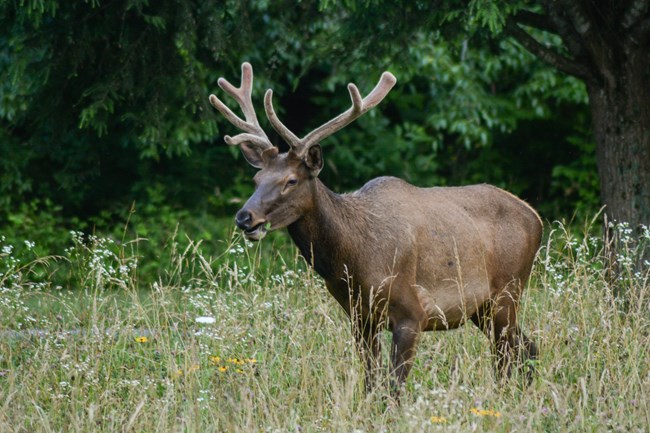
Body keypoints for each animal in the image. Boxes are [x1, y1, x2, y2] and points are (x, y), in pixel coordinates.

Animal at [209, 62, 542, 396]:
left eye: (291, 180)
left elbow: (393, 389)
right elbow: (371, 383)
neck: (352, 261)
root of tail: (536, 218)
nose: (245, 218)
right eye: (256, 179)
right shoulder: (360, 319)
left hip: (508, 292)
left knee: (508, 355)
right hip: (483, 309)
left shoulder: (413, 312)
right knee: (527, 348)